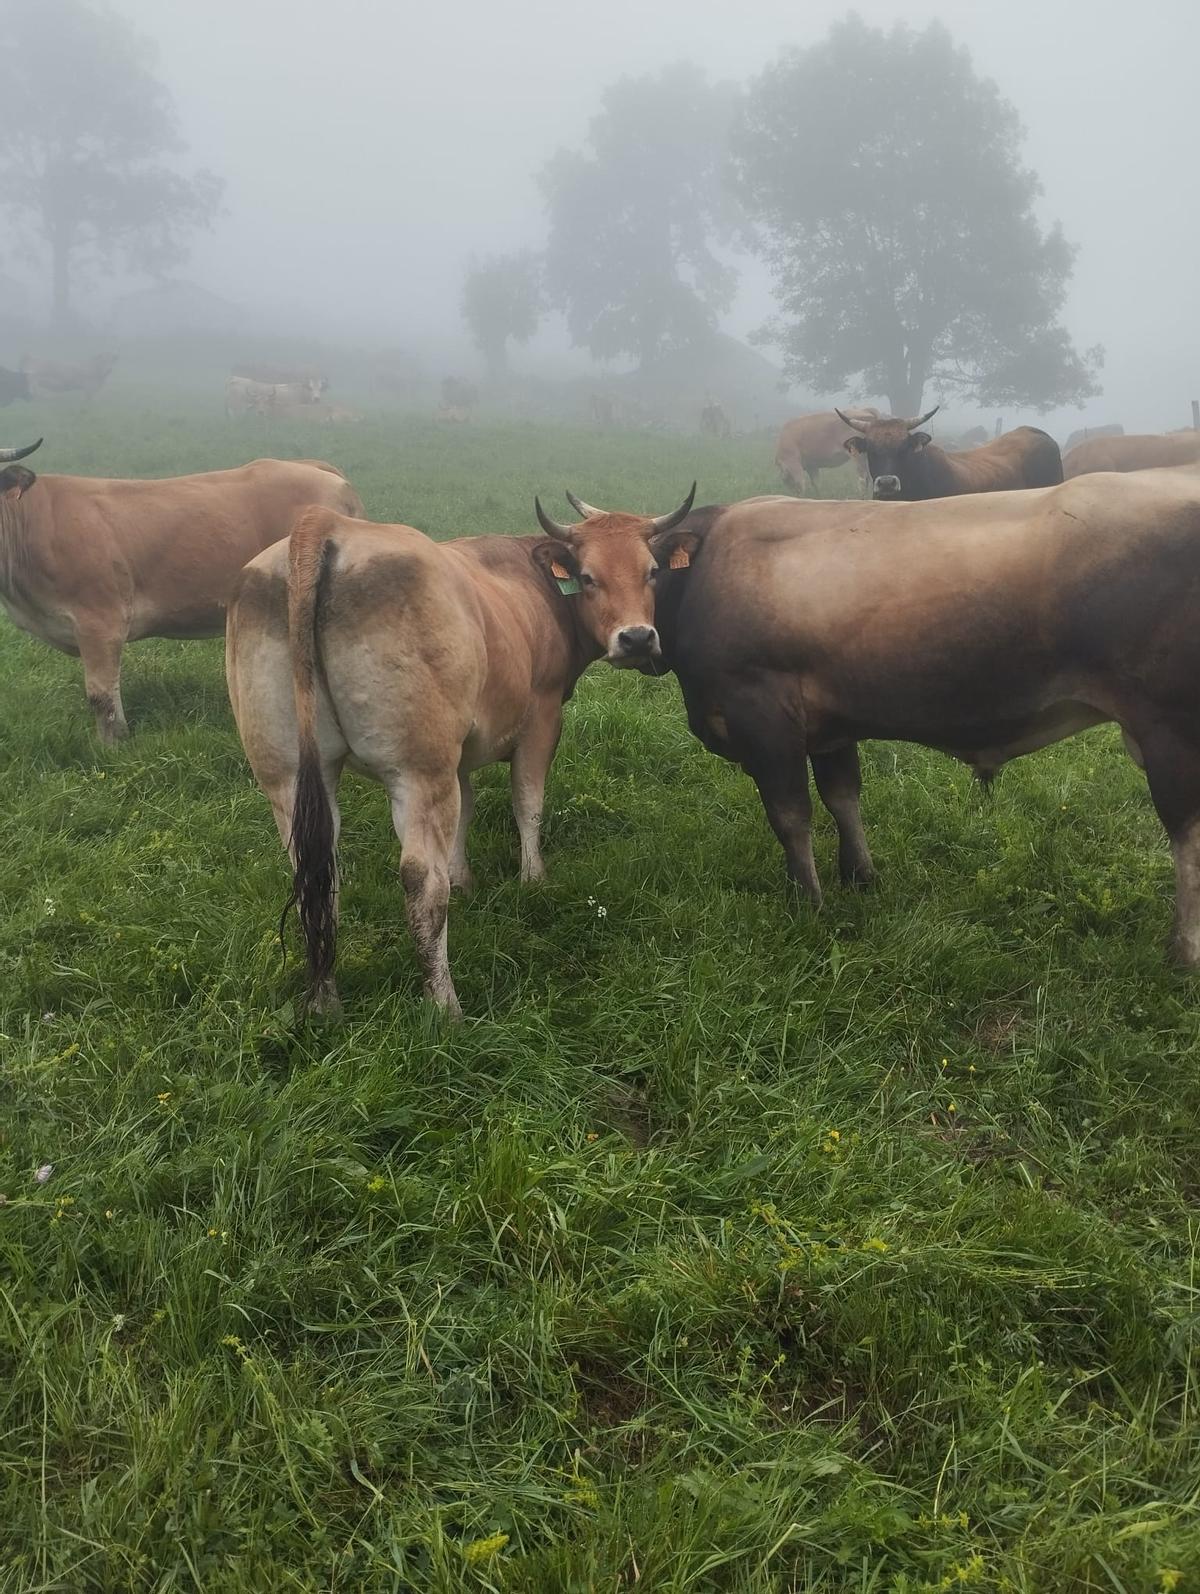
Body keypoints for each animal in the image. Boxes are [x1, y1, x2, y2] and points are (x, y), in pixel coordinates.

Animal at [225, 485, 697, 1018]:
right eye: (588, 577)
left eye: (651, 571)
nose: (637, 638)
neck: (530, 584)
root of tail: (326, 526)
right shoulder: (540, 718)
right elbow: (527, 801)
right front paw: (533, 879)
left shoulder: (460, 753)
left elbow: (466, 812)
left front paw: (464, 879)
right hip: (417, 770)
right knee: (420, 885)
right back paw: (445, 1007)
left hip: (288, 774)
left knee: (316, 874)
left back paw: (325, 1003)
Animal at [644, 475, 1200, 970]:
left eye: (645, 571)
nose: (634, 639)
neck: (705, 571)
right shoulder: (827, 725)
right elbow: (843, 796)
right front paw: (860, 877)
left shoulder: (763, 714)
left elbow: (790, 815)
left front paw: (808, 904)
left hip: (1170, 727)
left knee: (1186, 833)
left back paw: (1183, 952)